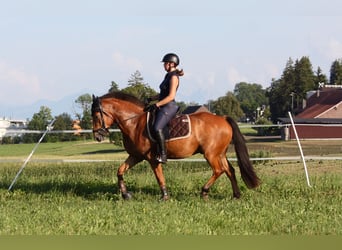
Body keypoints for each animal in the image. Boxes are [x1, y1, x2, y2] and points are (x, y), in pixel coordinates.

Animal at [91, 93, 260, 200]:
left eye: (96, 115)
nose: (98, 136)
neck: (134, 122)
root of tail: (223, 119)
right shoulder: (136, 156)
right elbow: (120, 171)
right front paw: (126, 195)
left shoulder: (152, 158)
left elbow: (159, 177)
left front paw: (165, 196)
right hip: (220, 153)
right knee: (229, 170)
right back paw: (236, 195)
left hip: (210, 154)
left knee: (219, 170)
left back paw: (204, 191)